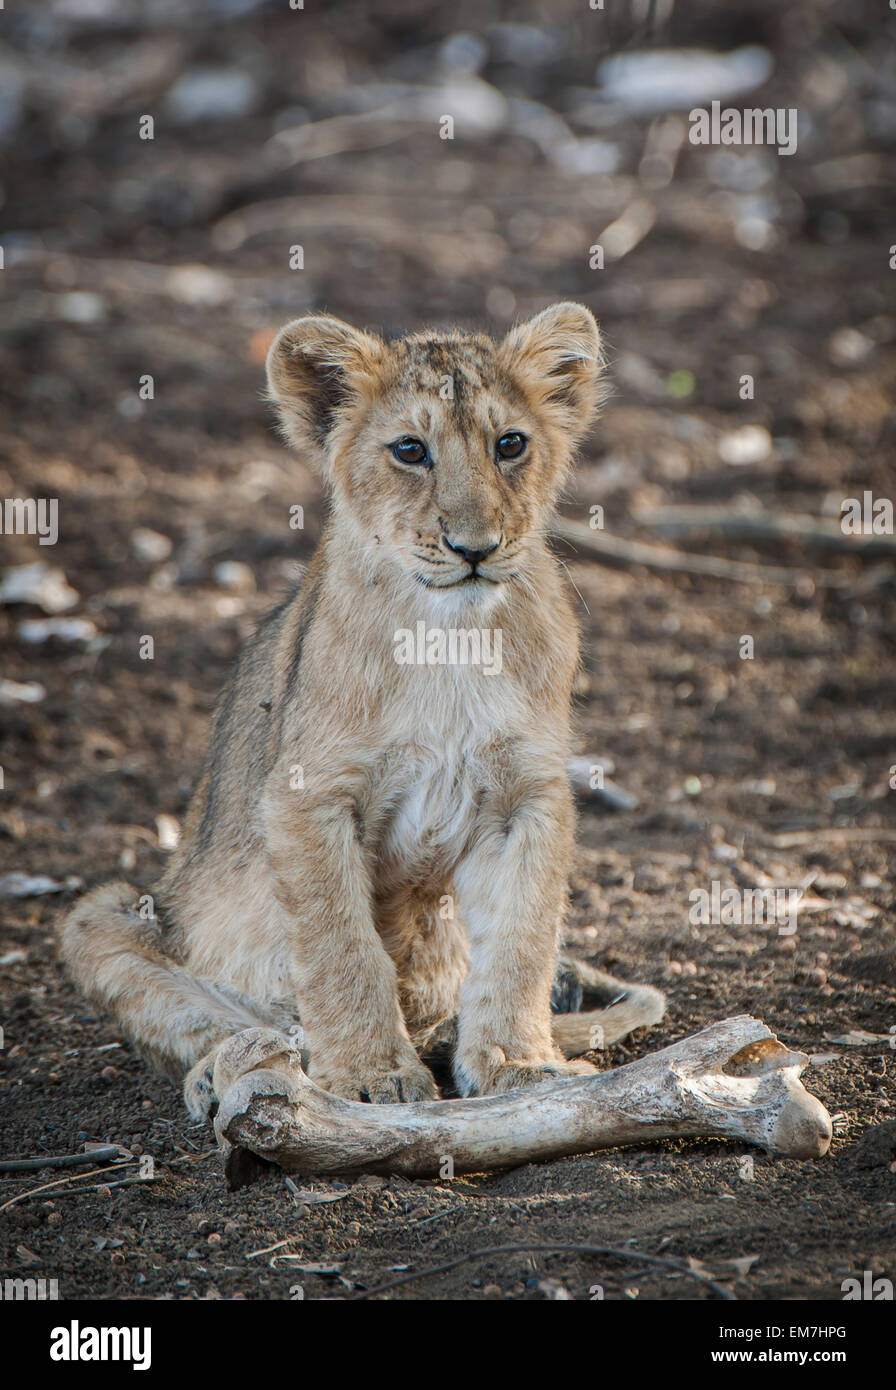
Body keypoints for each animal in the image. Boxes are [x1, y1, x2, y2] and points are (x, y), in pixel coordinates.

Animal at [59, 303, 664, 1119]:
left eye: (510, 444)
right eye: (410, 450)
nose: (475, 548)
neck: (448, 637)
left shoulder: (527, 796)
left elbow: (522, 942)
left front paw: (518, 1063)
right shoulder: (305, 796)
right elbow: (341, 946)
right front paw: (373, 1074)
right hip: (109, 913)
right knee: (212, 1016)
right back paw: (240, 1062)